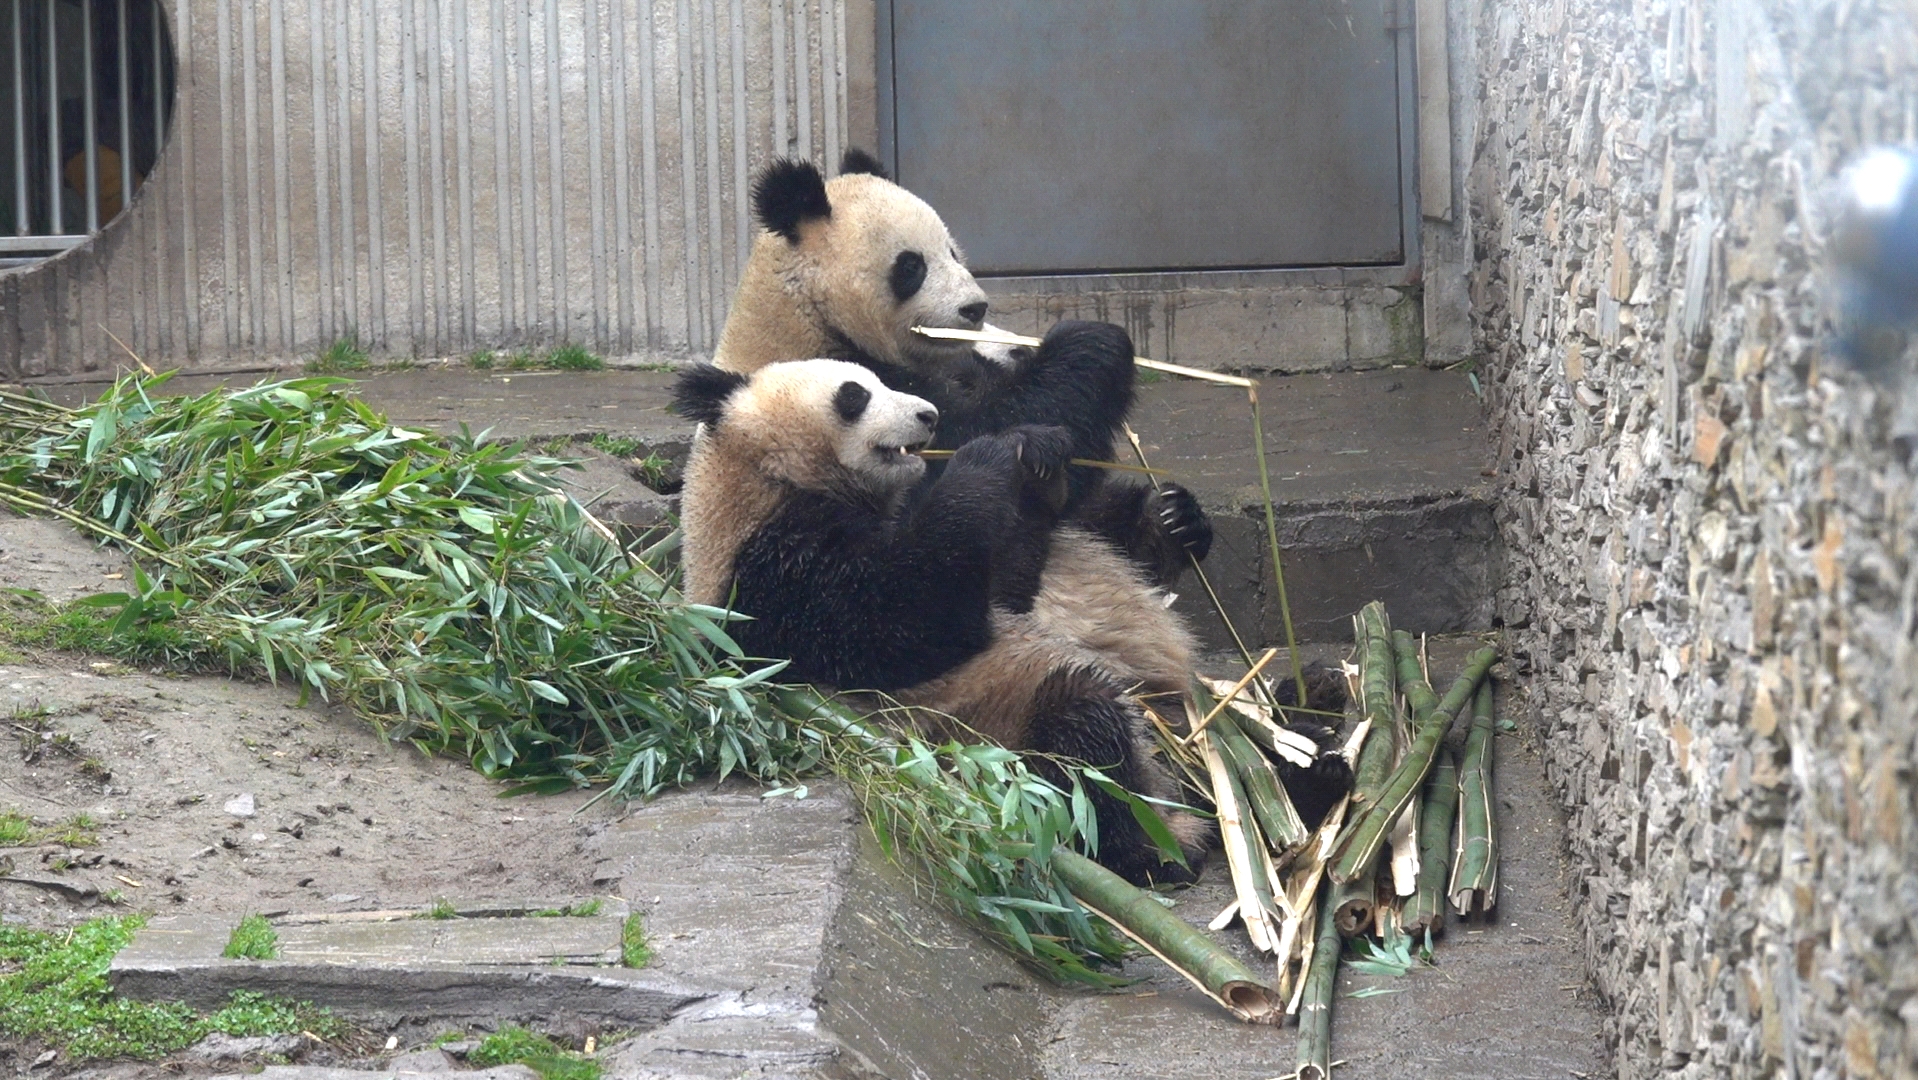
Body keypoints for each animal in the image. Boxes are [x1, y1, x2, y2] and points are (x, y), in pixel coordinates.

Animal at [678, 358, 1212, 882]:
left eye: (881, 381)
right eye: (854, 395)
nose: (929, 415)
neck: (765, 479)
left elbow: (1004, 588)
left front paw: (1039, 458)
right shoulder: (773, 579)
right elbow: (914, 621)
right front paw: (987, 456)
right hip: (997, 741)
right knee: (1080, 746)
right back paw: (1157, 848)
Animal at [713, 149, 1219, 590]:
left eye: (954, 252)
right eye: (911, 265)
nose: (976, 307)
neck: (805, 313)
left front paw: (1171, 518)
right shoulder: (841, 394)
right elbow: (963, 449)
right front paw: (1094, 341)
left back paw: (1173, 521)